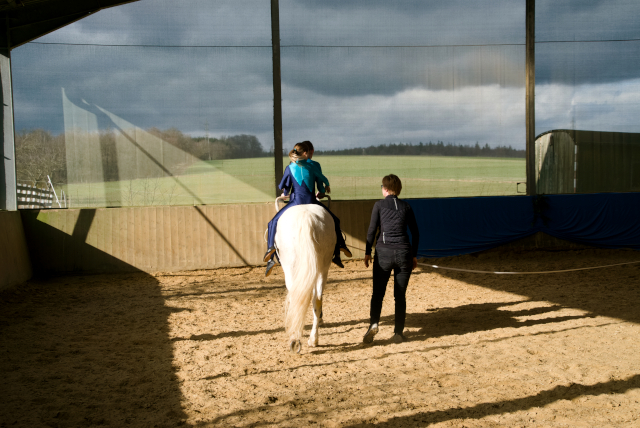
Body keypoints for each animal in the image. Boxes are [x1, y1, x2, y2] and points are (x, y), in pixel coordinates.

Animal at [275, 203, 337, 353]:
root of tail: (307, 217)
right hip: (323, 268)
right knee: (317, 299)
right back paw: (313, 339)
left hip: (290, 268)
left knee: (296, 297)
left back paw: (295, 339)